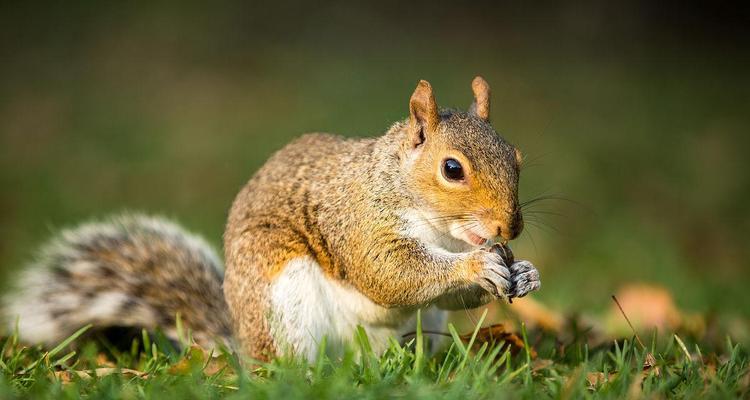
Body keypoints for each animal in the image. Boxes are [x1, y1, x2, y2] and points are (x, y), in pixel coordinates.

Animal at [0, 76, 540, 360]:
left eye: (518, 157)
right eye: (452, 169)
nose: (509, 229)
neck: (443, 233)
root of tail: (241, 343)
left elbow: (445, 295)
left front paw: (523, 272)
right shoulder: (357, 221)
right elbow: (390, 274)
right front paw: (477, 266)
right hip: (282, 295)